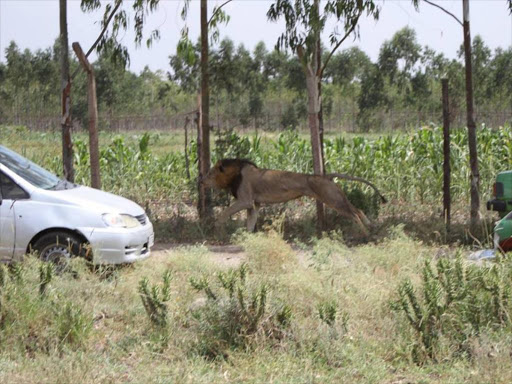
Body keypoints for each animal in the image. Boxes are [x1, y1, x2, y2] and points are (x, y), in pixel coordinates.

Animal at [202, 158, 386, 234]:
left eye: (210, 174)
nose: (201, 180)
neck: (234, 175)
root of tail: (325, 176)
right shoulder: (255, 204)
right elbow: (250, 223)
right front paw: (247, 239)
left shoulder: (245, 200)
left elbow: (224, 213)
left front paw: (217, 227)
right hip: (336, 196)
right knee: (358, 209)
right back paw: (371, 227)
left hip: (331, 198)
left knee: (354, 214)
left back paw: (365, 233)